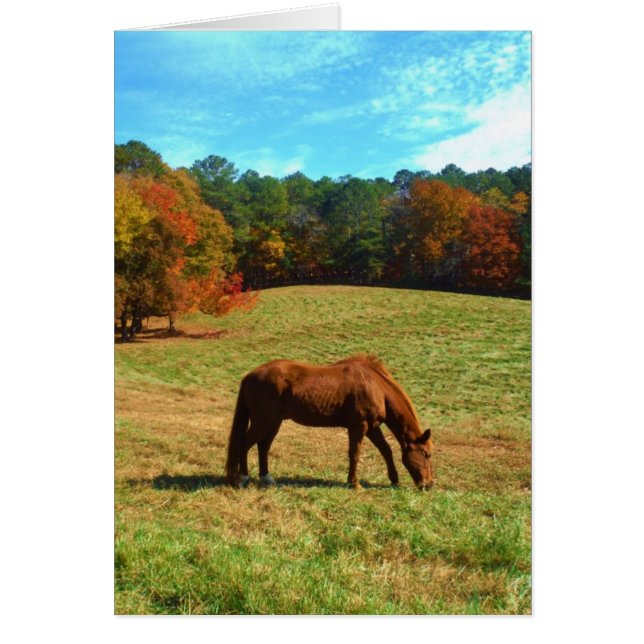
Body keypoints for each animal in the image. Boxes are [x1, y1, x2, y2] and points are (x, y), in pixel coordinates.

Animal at [225, 354, 435, 490]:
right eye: (426, 454)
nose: (429, 485)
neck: (376, 386)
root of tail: (250, 375)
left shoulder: (372, 428)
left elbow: (386, 450)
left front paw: (394, 480)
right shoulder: (359, 426)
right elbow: (354, 454)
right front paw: (354, 483)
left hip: (273, 423)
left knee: (263, 447)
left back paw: (266, 478)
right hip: (264, 422)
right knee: (245, 443)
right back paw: (242, 478)